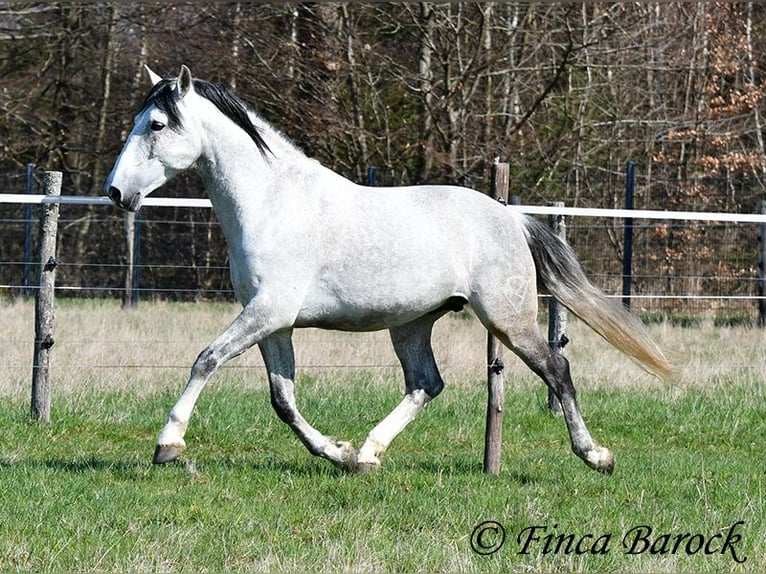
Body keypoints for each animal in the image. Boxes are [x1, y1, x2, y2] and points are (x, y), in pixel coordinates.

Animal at [105, 64, 670, 475]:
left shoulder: (268, 313)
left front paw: (168, 445)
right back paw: (368, 453)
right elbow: (283, 398)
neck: (272, 203)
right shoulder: (274, 322)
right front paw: (336, 452)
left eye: (156, 125)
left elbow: (206, 360)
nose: (116, 193)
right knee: (426, 384)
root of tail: (508, 215)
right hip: (413, 323)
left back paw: (596, 456)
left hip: (507, 319)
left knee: (557, 370)